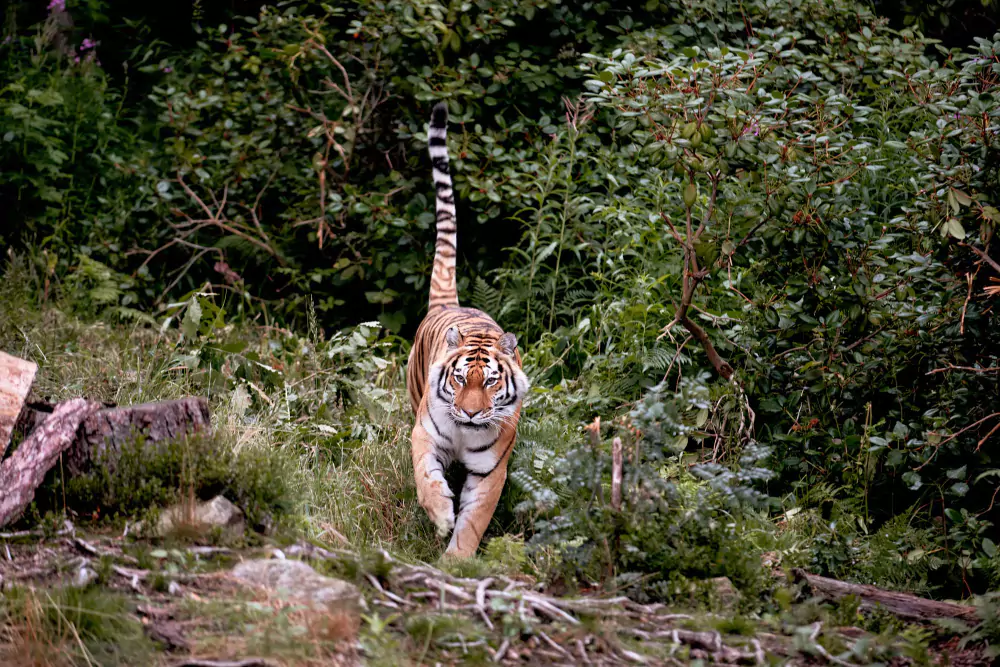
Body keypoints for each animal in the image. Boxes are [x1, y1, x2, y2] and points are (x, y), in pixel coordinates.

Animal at [405, 102, 530, 558]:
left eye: (491, 382)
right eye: (460, 379)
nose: (473, 413)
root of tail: (451, 303)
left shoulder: (492, 470)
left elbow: (474, 520)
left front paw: (457, 561)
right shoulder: (423, 437)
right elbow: (426, 479)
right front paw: (441, 514)